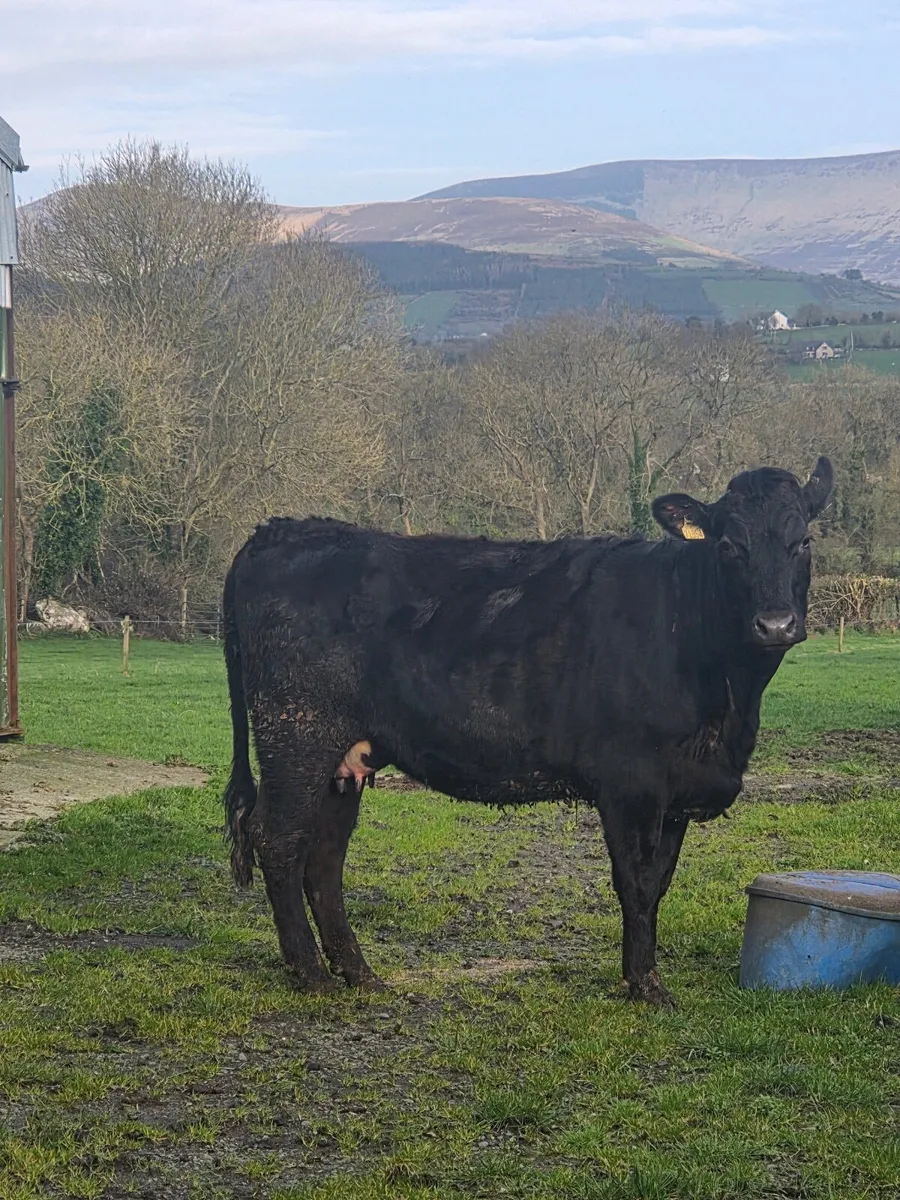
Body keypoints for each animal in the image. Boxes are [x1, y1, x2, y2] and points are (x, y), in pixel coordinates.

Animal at [222, 457, 833, 1007]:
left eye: (803, 541)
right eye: (729, 546)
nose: (775, 623)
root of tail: (280, 530)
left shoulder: (677, 792)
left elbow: (659, 883)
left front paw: (642, 977)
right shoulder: (631, 784)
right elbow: (635, 883)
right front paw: (646, 987)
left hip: (343, 760)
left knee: (324, 859)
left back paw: (359, 974)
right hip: (295, 735)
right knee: (279, 842)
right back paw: (312, 975)